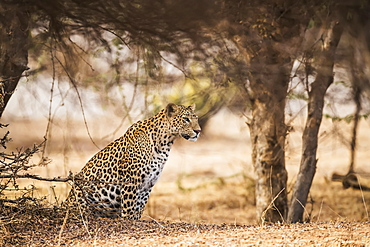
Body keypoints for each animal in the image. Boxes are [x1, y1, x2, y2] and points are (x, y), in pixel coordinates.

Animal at [65, 103, 201, 219]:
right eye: (186, 119)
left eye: (196, 118)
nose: (198, 131)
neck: (165, 142)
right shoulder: (130, 184)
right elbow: (129, 211)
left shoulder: (147, 186)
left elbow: (137, 211)